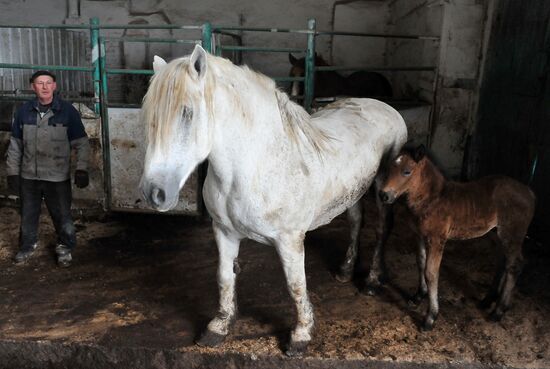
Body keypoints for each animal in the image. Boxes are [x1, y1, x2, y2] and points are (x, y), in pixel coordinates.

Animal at [141, 44, 410, 356]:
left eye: (187, 112)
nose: (154, 192)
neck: (256, 164)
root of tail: (385, 107)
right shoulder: (224, 232)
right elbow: (224, 277)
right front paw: (219, 327)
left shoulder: (290, 240)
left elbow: (296, 285)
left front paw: (301, 335)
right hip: (354, 191)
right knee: (356, 221)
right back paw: (345, 269)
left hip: (383, 190)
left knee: (381, 230)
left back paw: (372, 280)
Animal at [382, 145, 536, 330]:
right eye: (389, 168)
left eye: (407, 171)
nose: (384, 195)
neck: (433, 199)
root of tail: (529, 192)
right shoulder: (419, 235)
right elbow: (420, 263)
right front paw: (418, 296)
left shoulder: (437, 239)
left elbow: (431, 272)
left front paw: (430, 317)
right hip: (497, 233)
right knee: (503, 262)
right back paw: (487, 301)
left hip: (512, 233)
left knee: (514, 265)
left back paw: (498, 311)